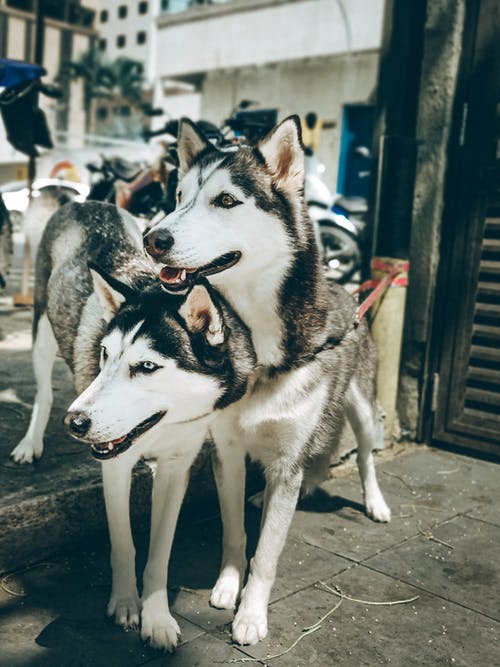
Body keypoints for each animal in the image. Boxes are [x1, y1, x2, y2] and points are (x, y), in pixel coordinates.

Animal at [13, 201, 256, 648]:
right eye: (105, 354)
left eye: (146, 367)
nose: (75, 422)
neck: (162, 426)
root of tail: (84, 202)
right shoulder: (114, 467)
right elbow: (123, 542)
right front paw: (125, 604)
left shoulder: (177, 468)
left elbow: (160, 553)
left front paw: (156, 616)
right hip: (41, 330)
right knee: (43, 392)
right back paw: (30, 443)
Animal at [143, 118, 392, 648]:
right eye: (179, 196)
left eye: (226, 200)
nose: (154, 239)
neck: (260, 352)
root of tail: (348, 291)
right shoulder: (227, 450)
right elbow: (236, 532)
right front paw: (226, 586)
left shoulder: (288, 457)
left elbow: (269, 555)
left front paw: (252, 614)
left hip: (361, 408)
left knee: (363, 454)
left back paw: (375, 503)